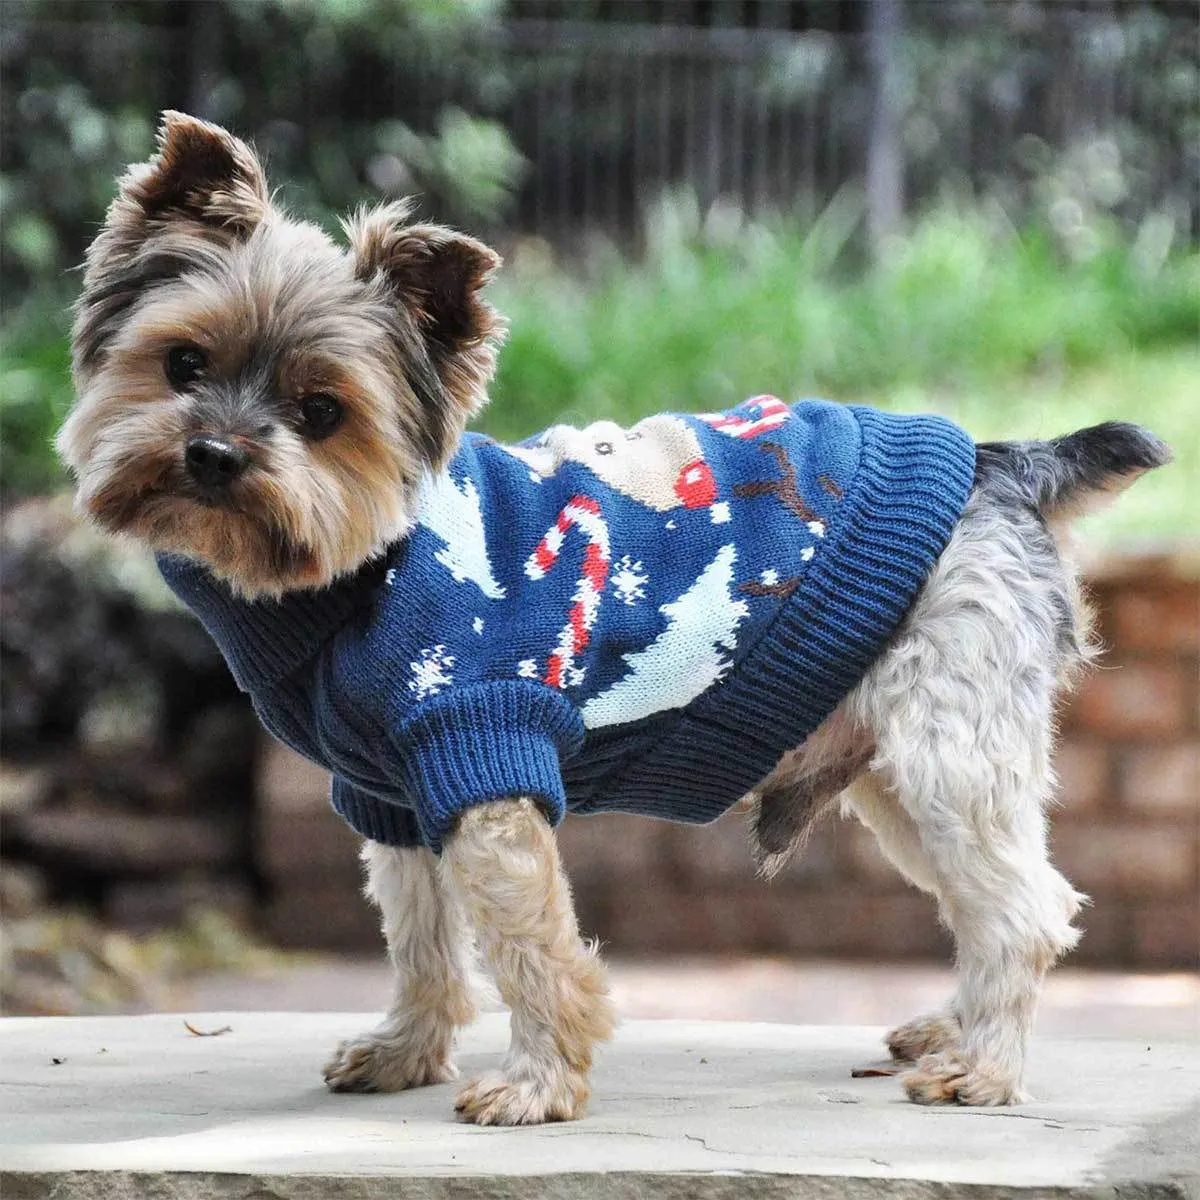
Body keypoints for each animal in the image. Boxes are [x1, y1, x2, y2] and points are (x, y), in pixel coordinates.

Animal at [58, 112, 1171, 1123]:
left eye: (321, 412)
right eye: (183, 365)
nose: (213, 453)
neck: (357, 571)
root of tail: (1008, 462)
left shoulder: (483, 747)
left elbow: (526, 941)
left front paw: (537, 1084)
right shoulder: (392, 791)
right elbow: (420, 937)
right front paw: (407, 1052)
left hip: (944, 743)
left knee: (1023, 909)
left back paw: (983, 1069)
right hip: (890, 771)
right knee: (993, 898)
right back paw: (952, 1031)